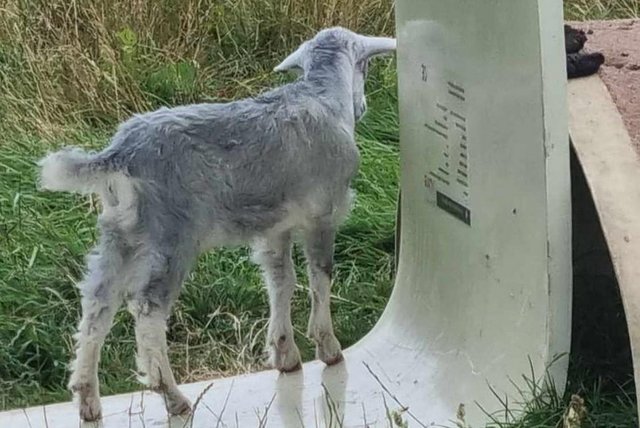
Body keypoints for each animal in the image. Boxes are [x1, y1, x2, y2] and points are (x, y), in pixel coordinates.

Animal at [37, 27, 396, 422]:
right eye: (364, 67)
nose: (363, 107)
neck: (322, 96)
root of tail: (119, 155)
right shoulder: (323, 213)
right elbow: (320, 277)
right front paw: (328, 347)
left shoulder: (275, 227)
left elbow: (281, 281)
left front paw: (284, 353)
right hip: (170, 235)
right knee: (147, 309)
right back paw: (172, 395)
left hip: (120, 234)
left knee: (98, 301)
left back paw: (87, 396)